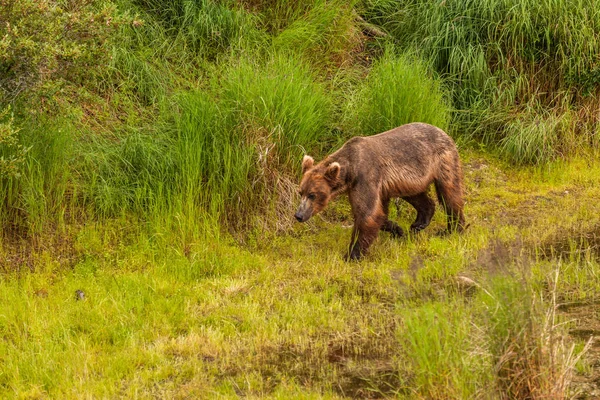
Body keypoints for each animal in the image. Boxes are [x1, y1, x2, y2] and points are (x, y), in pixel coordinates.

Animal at [292, 121, 466, 260]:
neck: (350, 171)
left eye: (312, 195)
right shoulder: (371, 187)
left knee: (449, 192)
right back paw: (419, 223)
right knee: (417, 196)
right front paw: (397, 229)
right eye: (301, 192)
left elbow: (367, 214)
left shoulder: (366, 177)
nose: (299, 215)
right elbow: (379, 214)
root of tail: (442, 131)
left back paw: (452, 229)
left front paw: (351, 254)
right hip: (408, 180)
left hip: (443, 160)